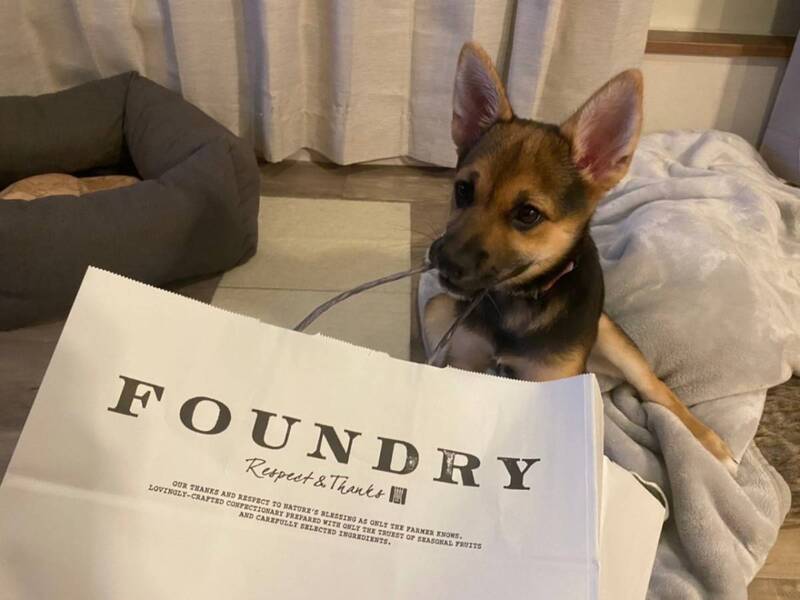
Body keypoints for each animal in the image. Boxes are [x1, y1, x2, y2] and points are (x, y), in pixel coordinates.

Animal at [422, 42, 736, 473]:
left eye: (528, 214)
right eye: (463, 190)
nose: (440, 259)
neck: (520, 302)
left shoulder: (550, 383)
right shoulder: (466, 362)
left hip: (613, 338)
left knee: (656, 388)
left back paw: (711, 444)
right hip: (438, 310)